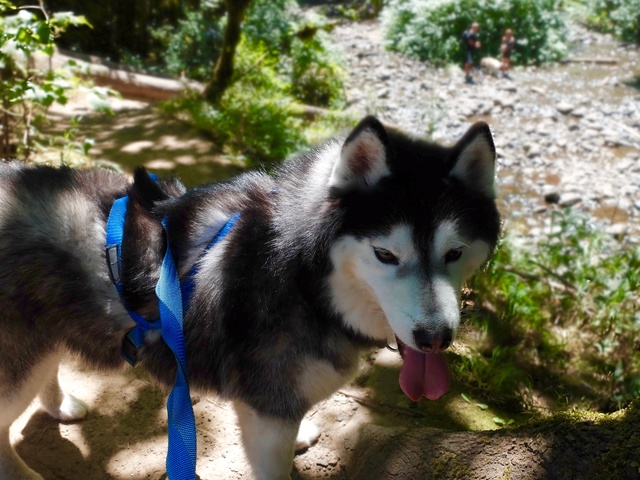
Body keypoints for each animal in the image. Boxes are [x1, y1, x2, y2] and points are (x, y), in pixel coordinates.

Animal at [0, 117, 500, 480]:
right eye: (385, 254)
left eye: (455, 253)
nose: (434, 338)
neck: (304, 280)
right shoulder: (268, 411)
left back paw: (60, 406)